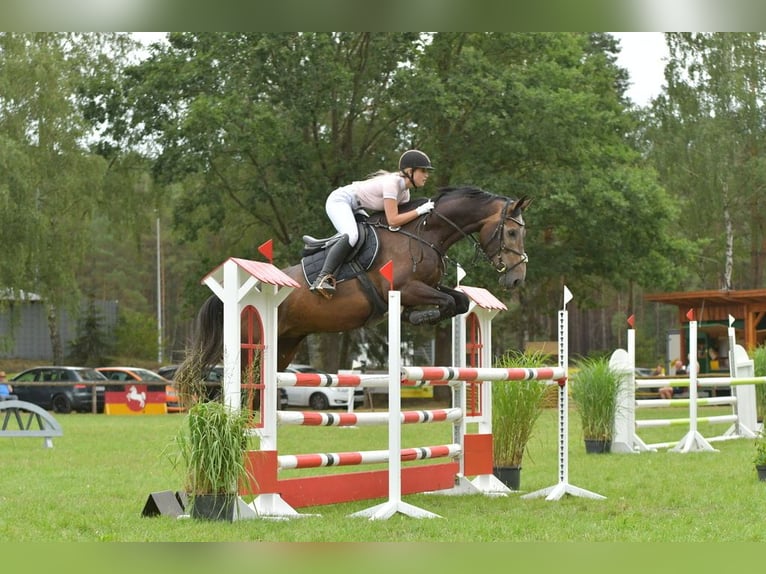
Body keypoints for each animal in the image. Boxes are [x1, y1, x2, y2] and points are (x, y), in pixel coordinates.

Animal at [182, 186, 528, 382]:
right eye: (512, 232)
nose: (516, 278)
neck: (424, 233)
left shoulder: (427, 287)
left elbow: (460, 301)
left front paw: (415, 316)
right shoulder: (405, 289)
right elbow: (444, 303)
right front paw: (419, 316)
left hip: (287, 344)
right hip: (251, 346)